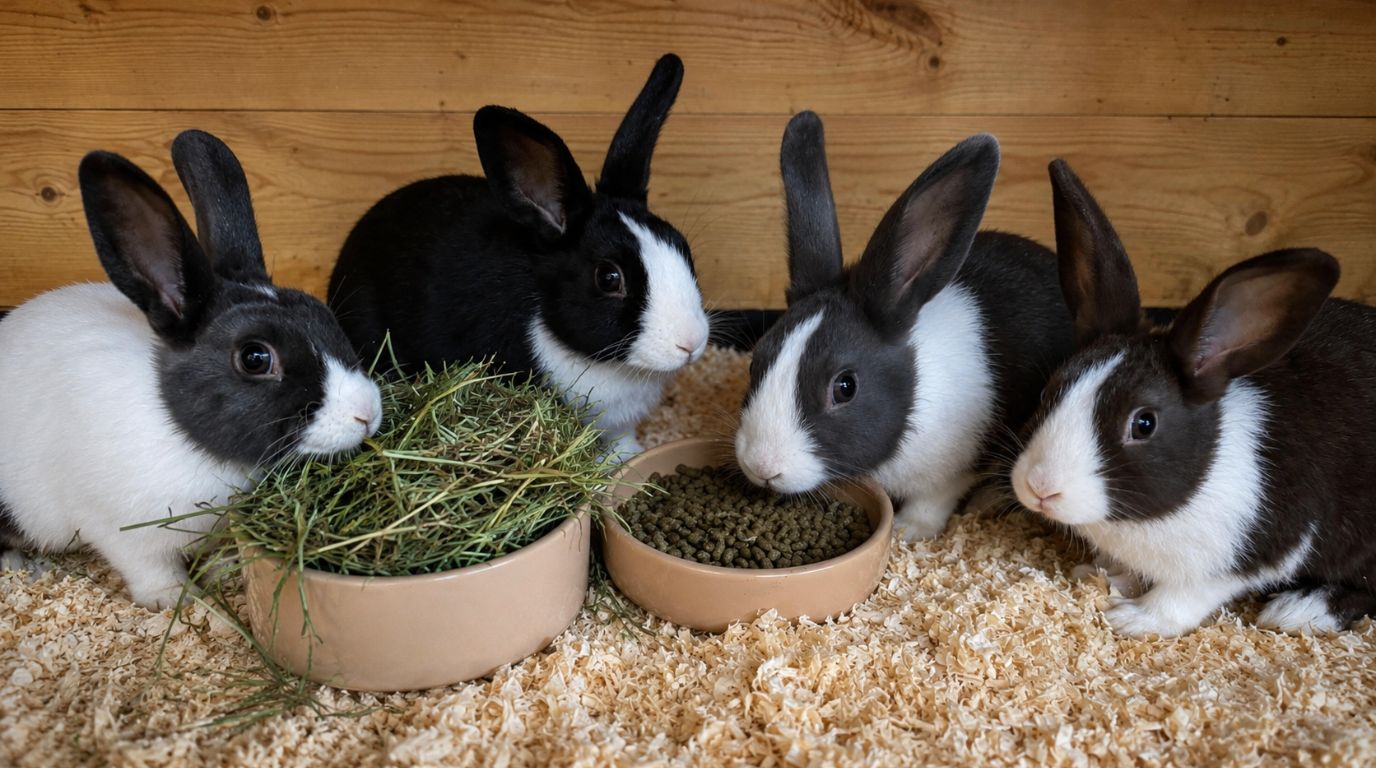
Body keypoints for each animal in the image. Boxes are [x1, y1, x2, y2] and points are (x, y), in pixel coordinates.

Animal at [0, 130, 382, 610]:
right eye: (255, 358)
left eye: (323, 315)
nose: (367, 414)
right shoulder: (120, 532)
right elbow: (152, 572)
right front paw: (178, 602)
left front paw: (223, 574)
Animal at [734, 111, 1075, 541]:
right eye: (754, 363)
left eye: (845, 387)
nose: (762, 467)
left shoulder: (952, 471)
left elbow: (934, 500)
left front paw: (907, 530)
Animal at [1011, 159, 1376, 637]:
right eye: (1049, 391)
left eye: (1143, 423)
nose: (1040, 488)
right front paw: (1103, 576)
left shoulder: (1246, 555)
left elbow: (1183, 597)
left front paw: (1132, 618)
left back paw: (1300, 609)